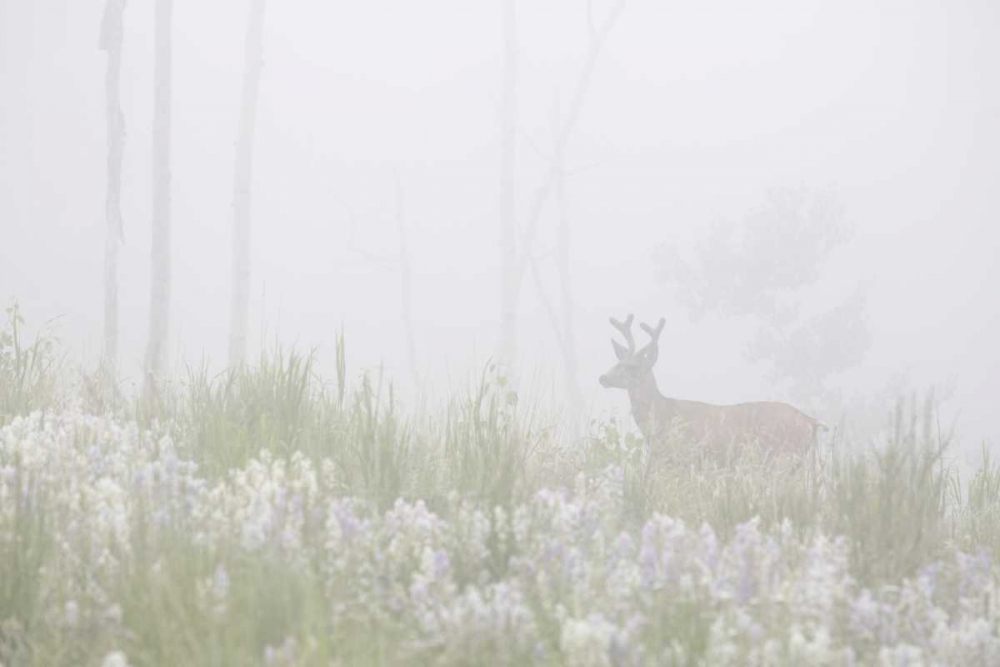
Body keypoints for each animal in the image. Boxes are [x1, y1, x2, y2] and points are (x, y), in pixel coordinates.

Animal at [599, 314, 824, 464]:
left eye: (632, 367)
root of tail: (810, 421)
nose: (603, 377)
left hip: (784, 456)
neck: (663, 415)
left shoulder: (685, 457)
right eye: (618, 362)